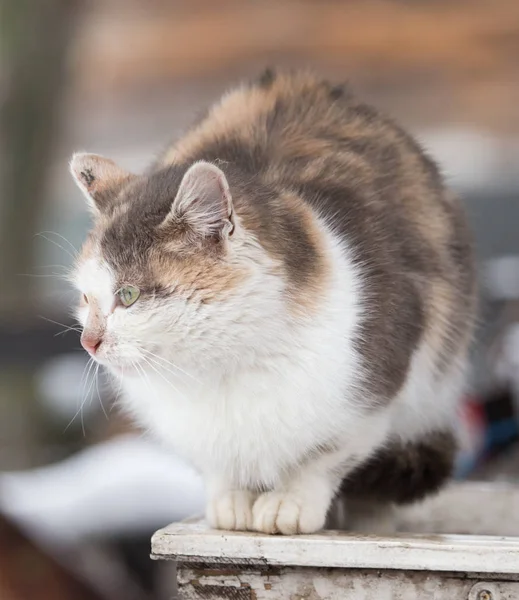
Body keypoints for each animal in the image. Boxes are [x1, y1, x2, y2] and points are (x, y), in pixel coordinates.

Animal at [70, 70, 480, 536]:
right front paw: (231, 501)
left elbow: (324, 458)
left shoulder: (371, 395)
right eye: (85, 297)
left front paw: (291, 503)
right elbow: (217, 466)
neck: (221, 370)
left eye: (129, 295)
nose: (88, 342)